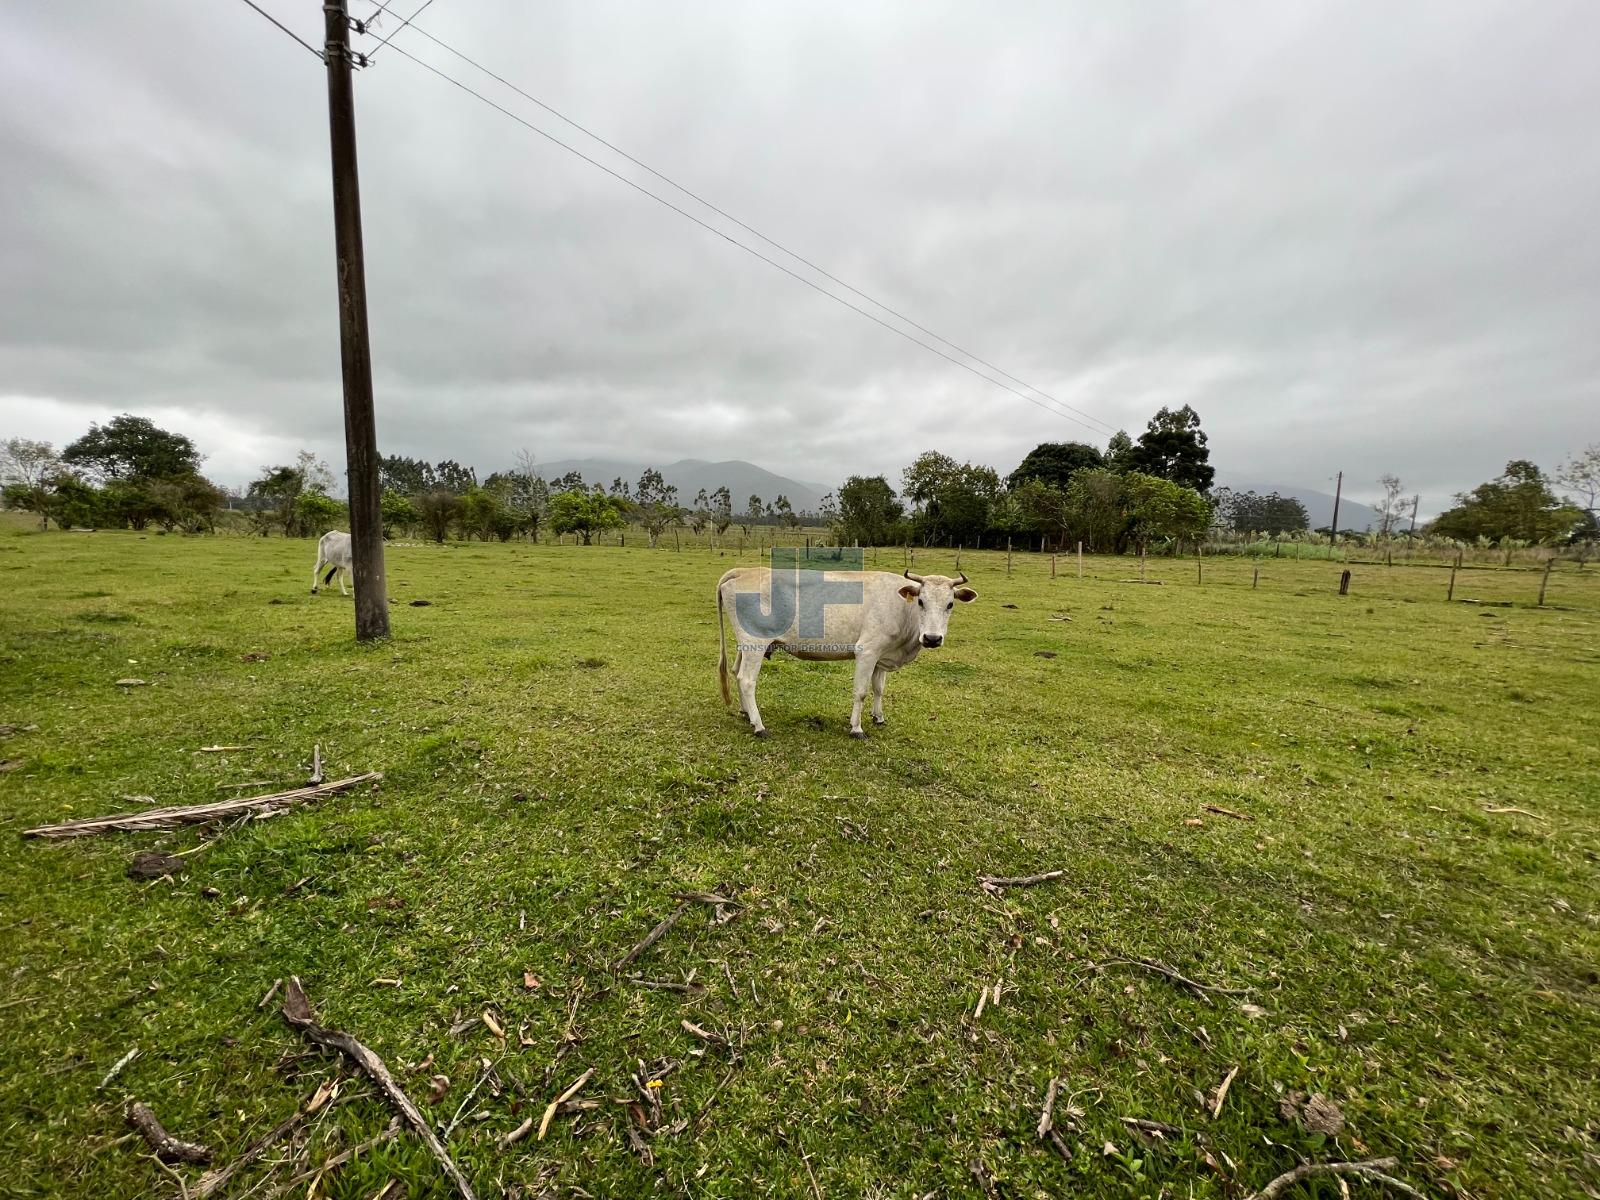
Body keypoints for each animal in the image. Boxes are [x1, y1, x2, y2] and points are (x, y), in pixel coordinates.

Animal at [720, 569, 979, 739]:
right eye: (921, 601)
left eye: (950, 604)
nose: (932, 638)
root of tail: (743, 571)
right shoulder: (867, 651)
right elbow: (861, 692)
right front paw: (857, 728)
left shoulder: (881, 657)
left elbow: (879, 689)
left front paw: (878, 717)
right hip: (756, 643)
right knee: (747, 680)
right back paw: (759, 726)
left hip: (746, 646)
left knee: (736, 672)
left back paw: (746, 713)